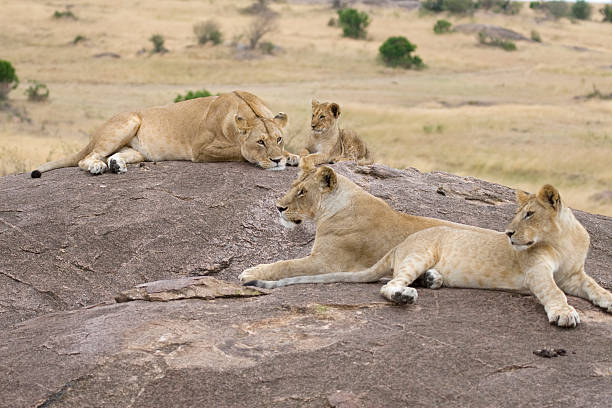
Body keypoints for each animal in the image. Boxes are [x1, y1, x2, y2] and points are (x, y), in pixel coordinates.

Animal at [30, 91, 298, 177]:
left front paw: (292, 157)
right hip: (129, 121)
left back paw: (116, 165)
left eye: (279, 139)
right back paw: (97, 167)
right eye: (260, 142)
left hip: (140, 152)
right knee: (87, 158)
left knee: (115, 155)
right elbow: (239, 151)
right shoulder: (200, 150)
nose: (277, 161)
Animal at [246, 185, 608, 328]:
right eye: (518, 214)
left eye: (529, 214)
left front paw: (608, 300)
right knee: (389, 284)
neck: (563, 241)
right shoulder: (536, 271)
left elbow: (596, 286)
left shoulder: (575, 274)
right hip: (419, 253)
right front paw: (564, 313)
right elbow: (554, 292)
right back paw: (406, 294)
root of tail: (401, 243)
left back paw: (433, 279)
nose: (508, 234)